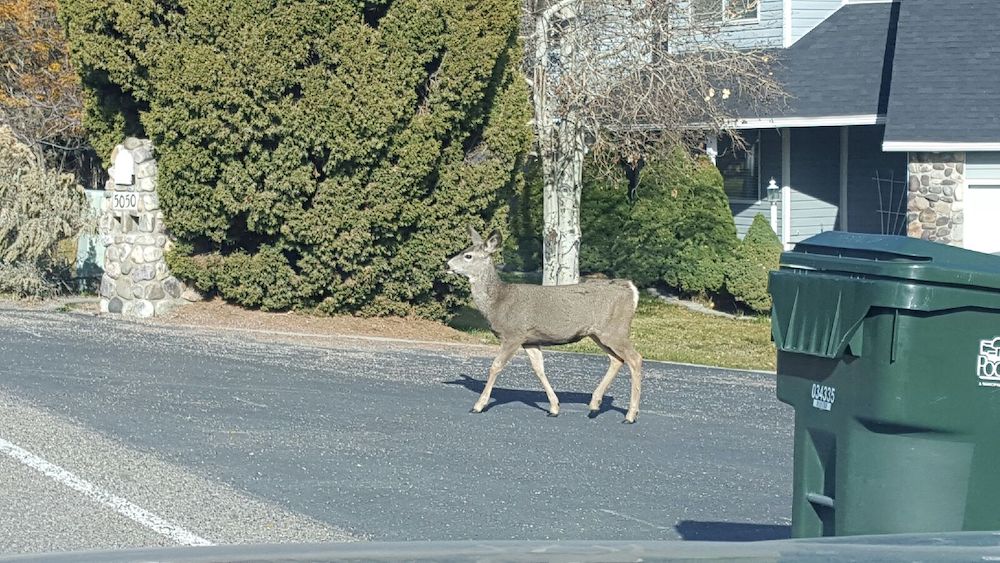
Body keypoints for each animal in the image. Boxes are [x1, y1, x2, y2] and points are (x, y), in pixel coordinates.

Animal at [446, 226, 644, 423]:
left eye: (468, 256)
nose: (447, 265)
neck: (498, 302)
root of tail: (632, 290)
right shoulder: (530, 340)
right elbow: (539, 369)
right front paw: (554, 407)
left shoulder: (514, 334)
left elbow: (496, 365)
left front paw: (478, 405)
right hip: (598, 333)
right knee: (617, 359)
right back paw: (595, 404)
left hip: (615, 329)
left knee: (635, 358)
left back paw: (630, 415)